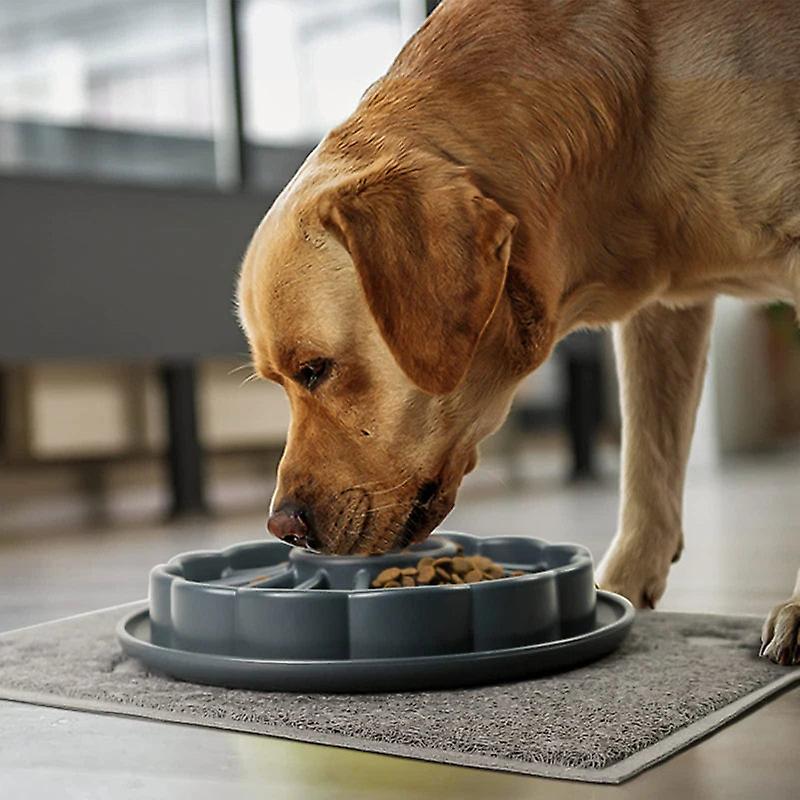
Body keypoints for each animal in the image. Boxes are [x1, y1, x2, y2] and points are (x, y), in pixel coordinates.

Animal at [239, 0, 800, 664]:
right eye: (277, 382)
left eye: (315, 369)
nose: (283, 528)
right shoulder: (664, 308)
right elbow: (647, 464)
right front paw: (618, 592)